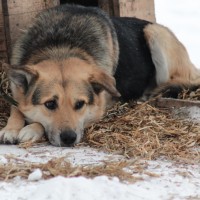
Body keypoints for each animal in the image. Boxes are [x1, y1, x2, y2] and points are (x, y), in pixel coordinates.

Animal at [0, 3, 199, 146]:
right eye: (50, 104)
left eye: (80, 104)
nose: (69, 138)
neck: (60, 46)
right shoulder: (17, 91)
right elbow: (17, 107)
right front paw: (11, 128)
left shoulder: (96, 111)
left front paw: (31, 129)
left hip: (155, 33)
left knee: (179, 81)